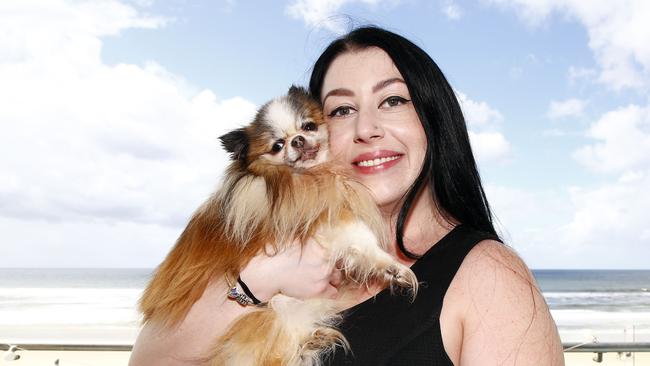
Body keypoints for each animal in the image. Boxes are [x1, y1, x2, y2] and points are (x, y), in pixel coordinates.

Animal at [139, 86, 418, 366]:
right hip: (269, 315)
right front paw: (393, 268)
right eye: (277, 146)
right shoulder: (321, 219)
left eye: (308, 126)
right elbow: (360, 238)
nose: (298, 140)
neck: (309, 175)